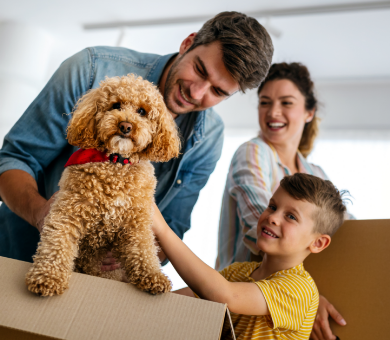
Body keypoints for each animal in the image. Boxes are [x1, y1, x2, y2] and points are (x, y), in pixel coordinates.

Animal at [25, 73, 181, 294]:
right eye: (116, 105)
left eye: (142, 111)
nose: (125, 126)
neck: (116, 162)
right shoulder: (67, 212)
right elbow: (56, 243)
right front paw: (48, 277)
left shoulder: (137, 223)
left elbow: (144, 249)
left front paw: (153, 276)